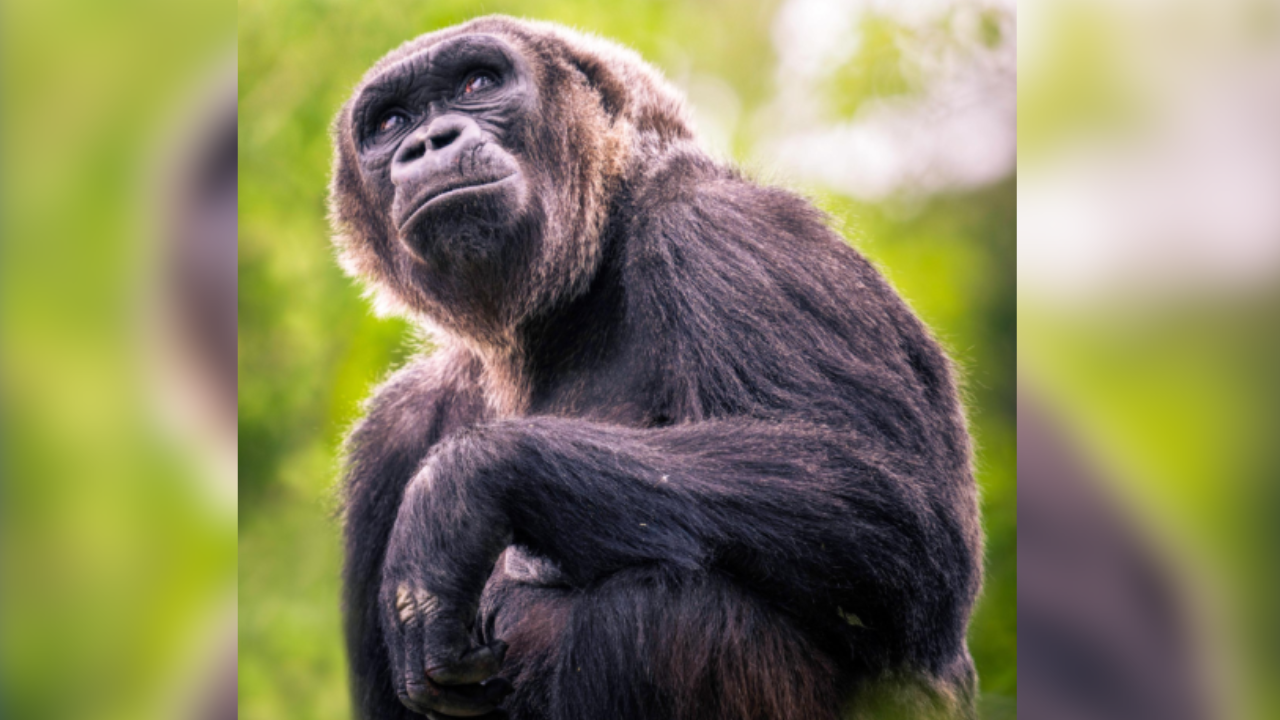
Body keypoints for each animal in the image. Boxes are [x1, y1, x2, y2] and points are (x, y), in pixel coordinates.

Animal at [329, 16, 982, 720]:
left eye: (477, 82)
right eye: (391, 122)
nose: (427, 141)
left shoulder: (729, 230)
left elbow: (897, 514)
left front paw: (454, 496)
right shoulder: (392, 430)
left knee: (666, 614)